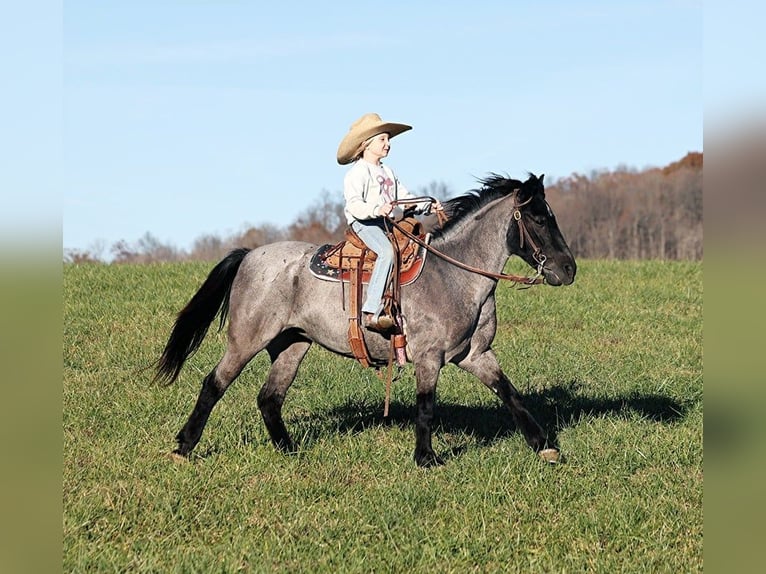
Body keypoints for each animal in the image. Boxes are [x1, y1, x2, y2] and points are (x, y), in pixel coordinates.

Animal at [155, 173, 577, 467]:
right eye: (538, 220)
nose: (569, 270)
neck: (455, 276)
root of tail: (249, 256)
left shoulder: (476, 355)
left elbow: (510, 393)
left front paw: (545, 446)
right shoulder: (429, 357)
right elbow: (426, 405)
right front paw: (426, 458)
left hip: (292, 343)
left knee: (270, 397)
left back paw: (291, 451)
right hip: (247, 340)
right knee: (214, 384)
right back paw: (183, 447)